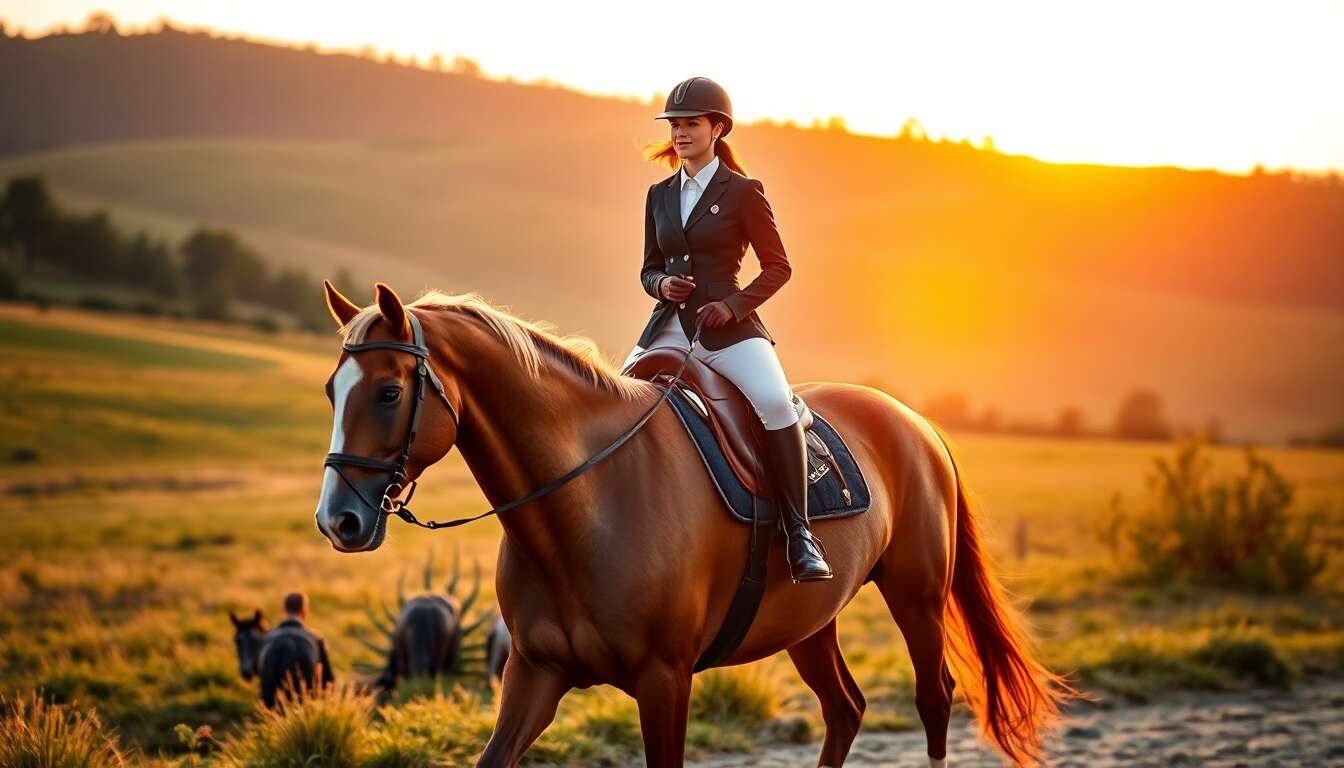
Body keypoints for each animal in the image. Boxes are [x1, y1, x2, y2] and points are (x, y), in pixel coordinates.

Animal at [314, 281, 1075, 767]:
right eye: (331, 390)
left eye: (388, 392)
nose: (338, 519)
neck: (585, 505)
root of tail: (916, 423)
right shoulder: (535, 673)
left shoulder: (665, 680)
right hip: (808, 622)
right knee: (845, 709)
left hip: (916, 596)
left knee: (933, 699)